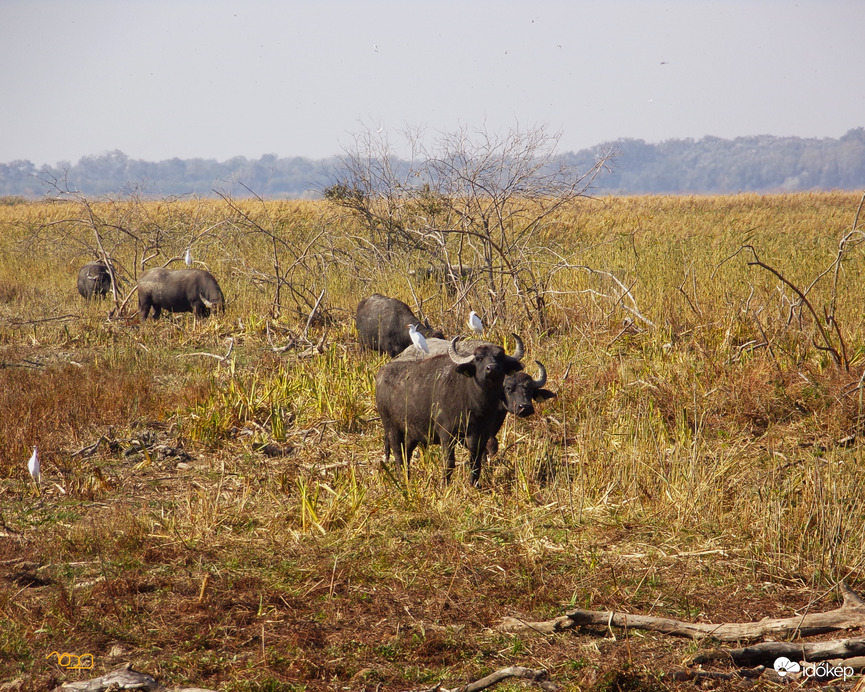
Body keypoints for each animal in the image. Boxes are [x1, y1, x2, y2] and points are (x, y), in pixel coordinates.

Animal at [374, 336, 524, 486]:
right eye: (479, 358)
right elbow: (449, 461)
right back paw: (402, 480)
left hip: (411, 433)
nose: (492, 368)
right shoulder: (446, 433)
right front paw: (444, 484)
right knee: (398, 454)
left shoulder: (481, 433)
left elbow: (475, 461)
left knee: (407, 453)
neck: (475, 403)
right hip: (391, 427)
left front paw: (474, 484)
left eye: (500, 357)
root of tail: (381, 374)